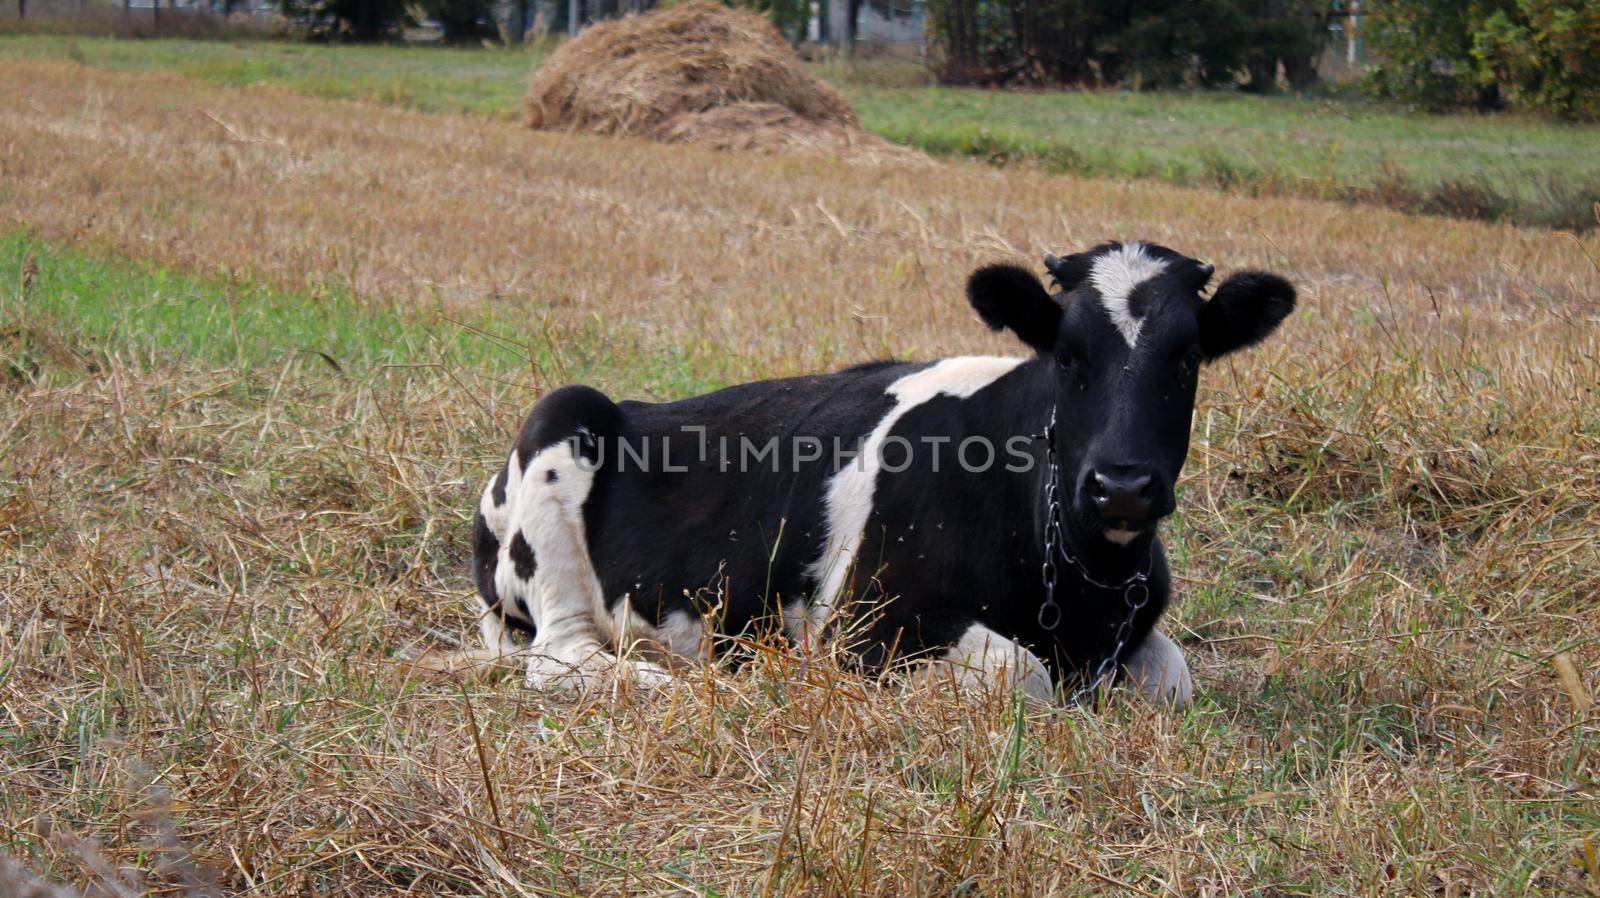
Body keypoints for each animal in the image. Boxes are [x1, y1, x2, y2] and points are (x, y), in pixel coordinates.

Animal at [460, 241, 1286, 704]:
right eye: (1066, 354)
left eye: (1188, 357)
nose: (1121, 486)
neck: (1080, 589)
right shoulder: (865, 625)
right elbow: (1022, 676)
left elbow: (1173, 682)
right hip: (561, 423)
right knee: (562, 656)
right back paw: (671, 682)